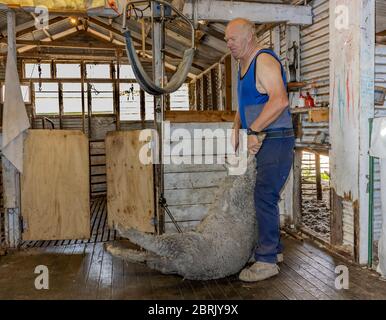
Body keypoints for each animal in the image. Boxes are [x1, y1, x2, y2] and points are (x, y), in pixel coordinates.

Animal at [104, 155, 258, 280]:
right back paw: (113, 248)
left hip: (182, 242)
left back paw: (122, 229)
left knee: (152, 243)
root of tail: (181, 265)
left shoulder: (237, 193)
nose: (225, 156)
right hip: (163, 258)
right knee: (144, 257)